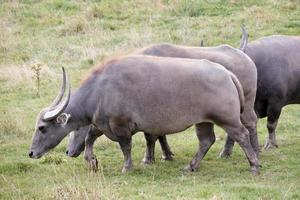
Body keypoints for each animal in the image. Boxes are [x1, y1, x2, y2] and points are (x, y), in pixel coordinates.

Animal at [28, 55, 260, 173]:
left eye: (42, 128)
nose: (31, 153)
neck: (100, 89)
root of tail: (227, 73)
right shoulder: (102, 124)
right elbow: (90, 138)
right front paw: (92, 160)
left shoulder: (120, 126)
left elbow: (126, 147)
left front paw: (127, 167)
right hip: (204, 121)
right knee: (206, 141)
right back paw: (191, 166)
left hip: (227, 119)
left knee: (241, 135)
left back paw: (254, 165)